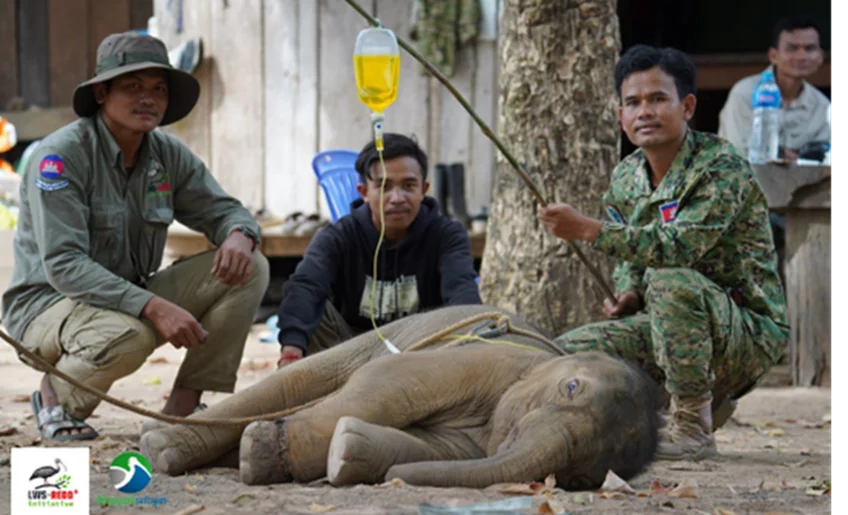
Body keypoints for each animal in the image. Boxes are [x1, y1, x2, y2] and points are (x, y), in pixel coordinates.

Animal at [140, 304, 664, 490]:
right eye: (571, 388)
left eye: (581, 476)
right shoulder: (486, 360)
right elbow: (388, 387)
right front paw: (261, 451)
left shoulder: (477, 445)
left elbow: (429, 448)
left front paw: (347, 453)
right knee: (300, 380)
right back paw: (157, 446)